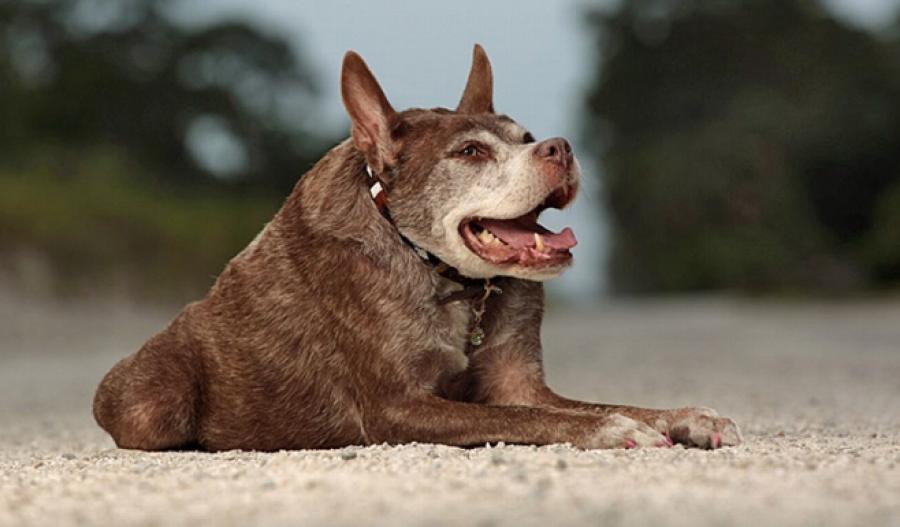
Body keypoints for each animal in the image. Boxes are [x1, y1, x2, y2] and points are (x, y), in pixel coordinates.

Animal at [91, 45, 740, 452]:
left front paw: (682, 418)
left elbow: (578, 403)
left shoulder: (518, 381)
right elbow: (526, 417)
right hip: (156, 398)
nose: (560, 147)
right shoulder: (399, 406)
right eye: (471, 153)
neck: (447, 277)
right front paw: (613, 431)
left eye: (527, 137)